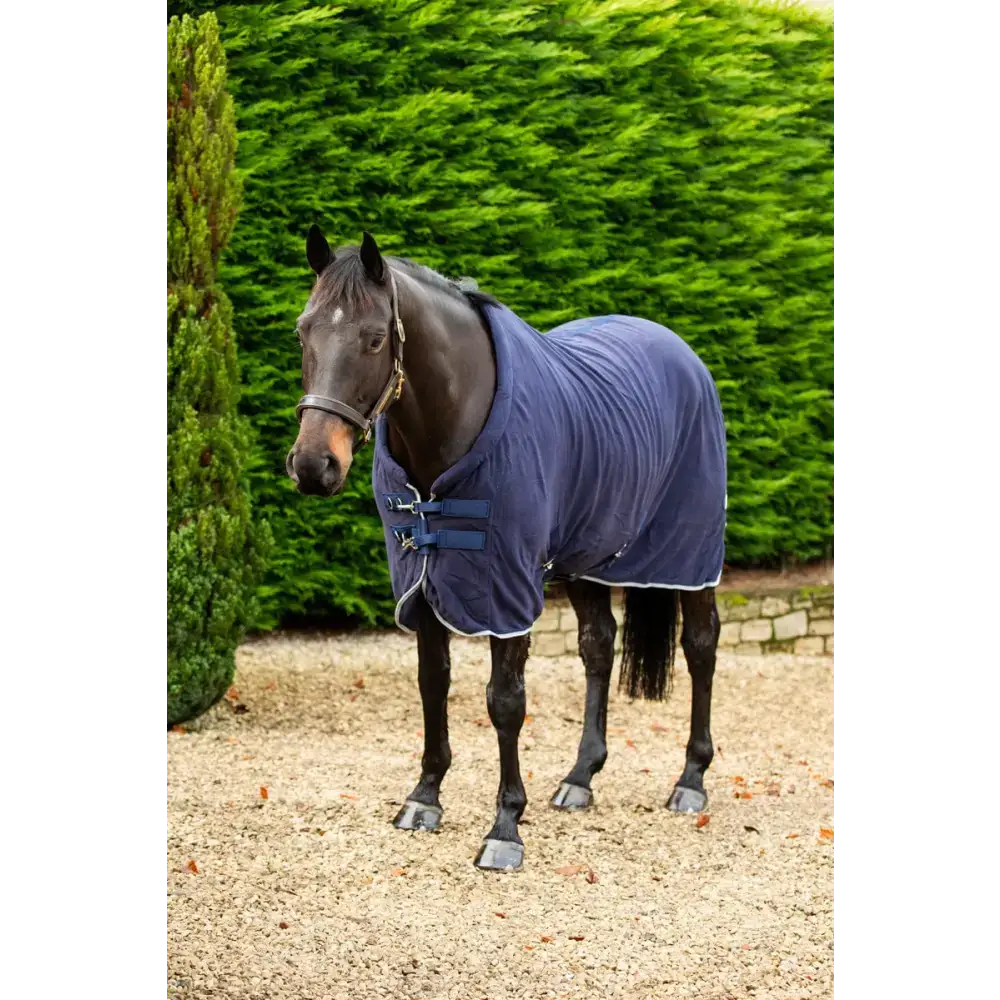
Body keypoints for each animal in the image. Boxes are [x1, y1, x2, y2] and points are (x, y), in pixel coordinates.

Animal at [286, 228, 726, 872]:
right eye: (303, 330)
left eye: (374, 339)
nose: (314, 466)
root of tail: (683, 354)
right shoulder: (423, 581)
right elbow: (433, 683)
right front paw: (424, 797)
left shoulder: (506, 584)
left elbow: (505, 701)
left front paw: (505, 828)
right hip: (587, 557)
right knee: (599, 646)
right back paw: (580, 777)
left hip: (691, 555)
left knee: (700, 646)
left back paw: (691, 779)